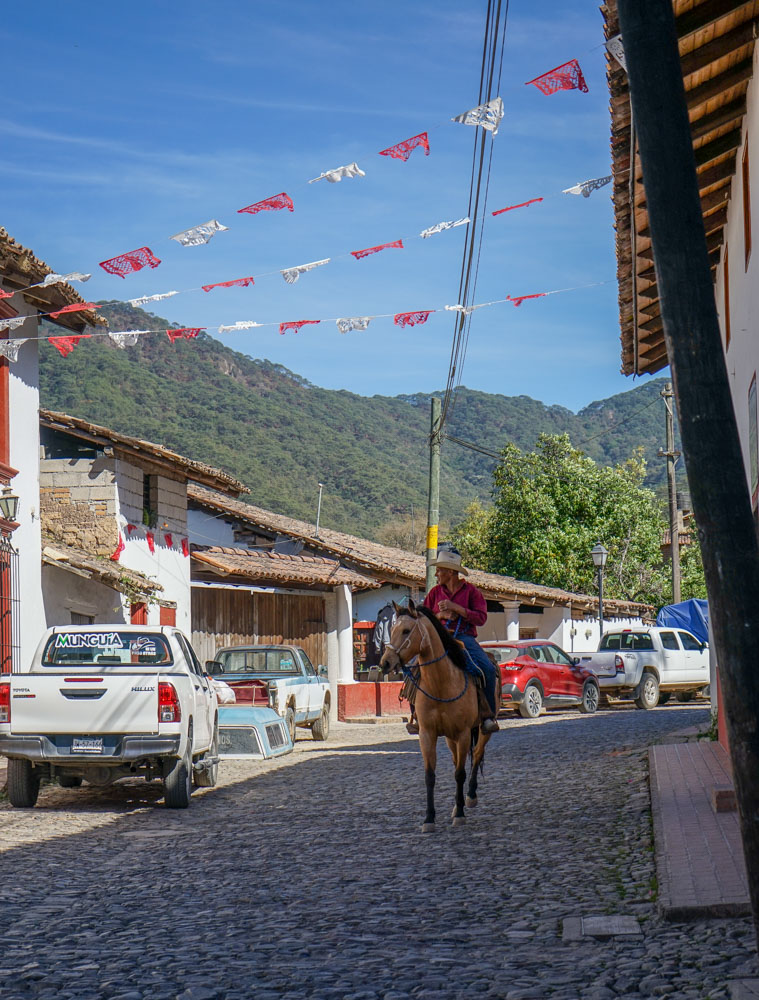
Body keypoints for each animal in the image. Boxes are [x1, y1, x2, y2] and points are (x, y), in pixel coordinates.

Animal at [380, 596, 492, 832]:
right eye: (391, 629)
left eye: (406, 630)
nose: (385, 662)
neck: (442, 684)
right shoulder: (427, 734)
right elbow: (430, 776)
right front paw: (429, 818)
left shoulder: (463, 733)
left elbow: (460, 773)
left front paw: (460, 815)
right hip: (450, 738)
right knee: (458, 760)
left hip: (482, 730)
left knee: (476, 755)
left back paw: (469, 797)